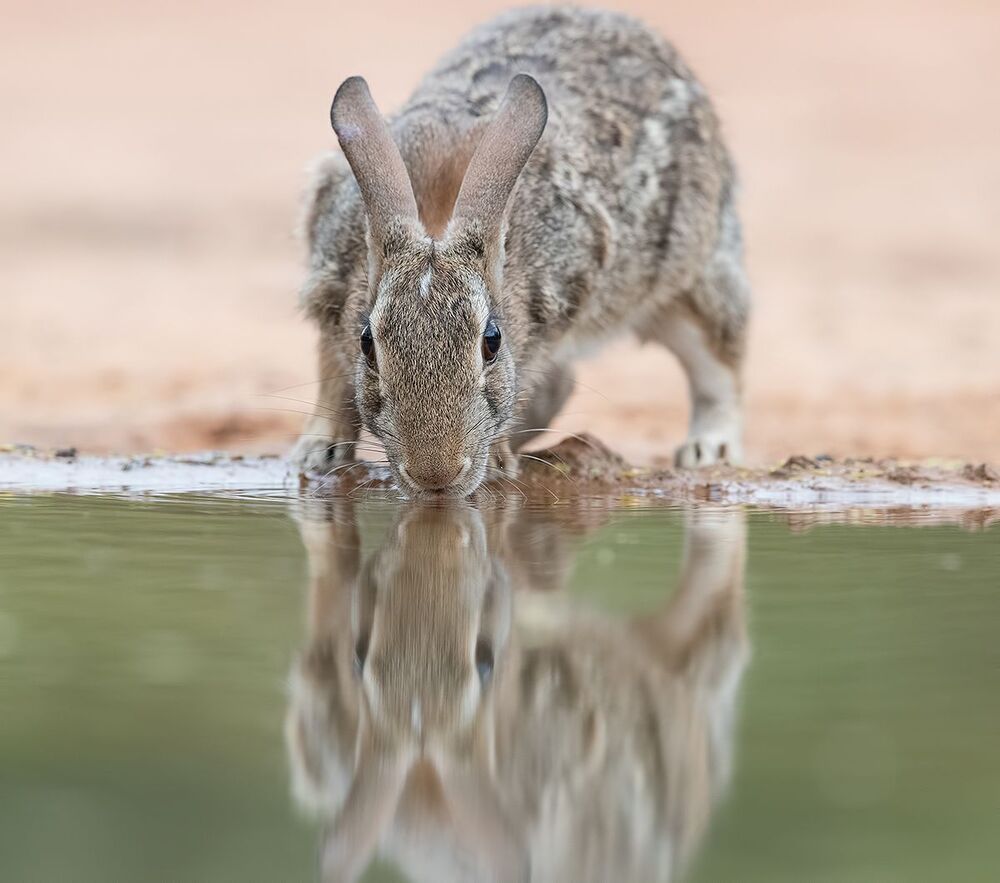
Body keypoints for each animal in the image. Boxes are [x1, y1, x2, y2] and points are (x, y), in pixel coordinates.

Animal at [291, 7, 750, 497]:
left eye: (491, 341)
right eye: (367, 343)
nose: (435, 475)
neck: (436, 216)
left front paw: (495, 463)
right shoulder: (329, 292)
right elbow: (332, 380)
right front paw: (317, 451)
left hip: (692, 281)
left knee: (720, 363)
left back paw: (709, 449)